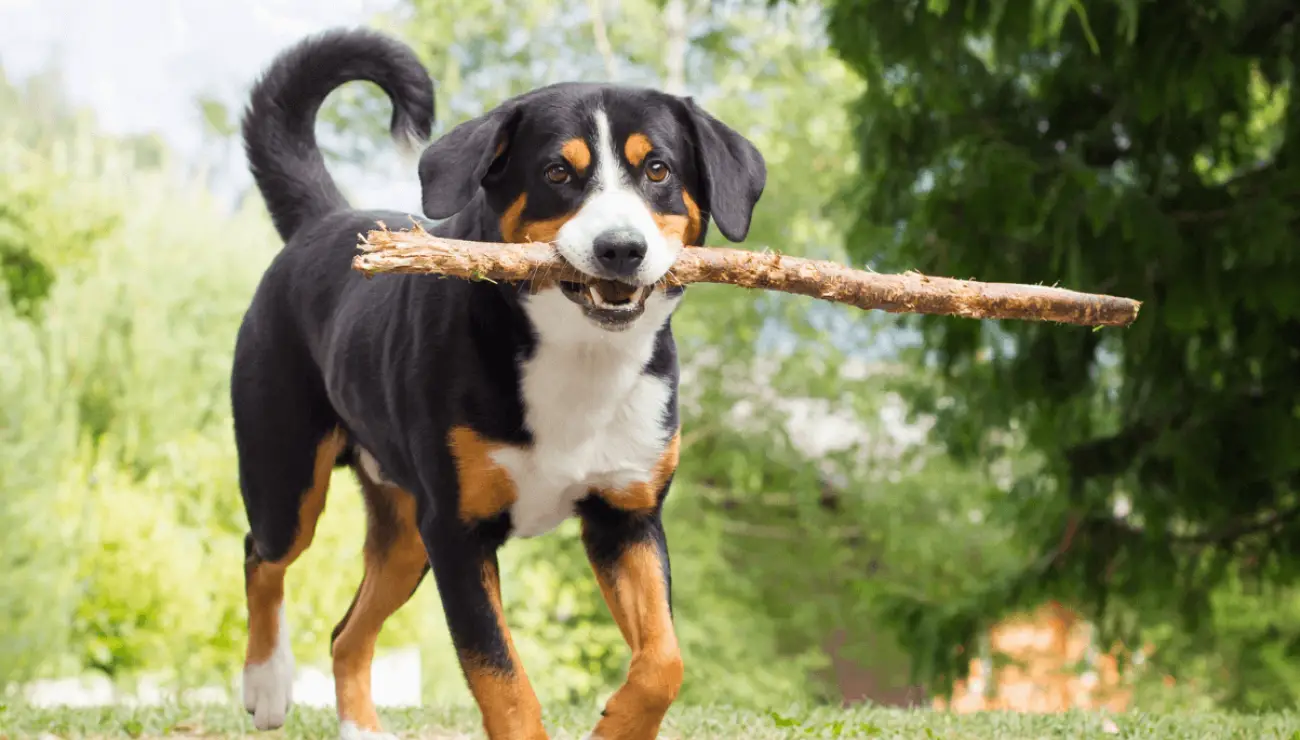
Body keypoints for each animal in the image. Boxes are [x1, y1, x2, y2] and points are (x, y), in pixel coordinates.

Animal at [233, 26, 764, 733]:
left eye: (658, 170)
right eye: (557, 172)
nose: (620, 248)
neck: (580, 358)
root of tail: (323, 221)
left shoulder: (626, 517)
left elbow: (663, 660)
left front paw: (619, 724)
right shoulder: (459, 534)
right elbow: (501, 677)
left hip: (407, 535)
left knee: (347, 633)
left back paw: (360, 727)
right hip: (289, 478)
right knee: (262, 557)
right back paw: (267, 682)